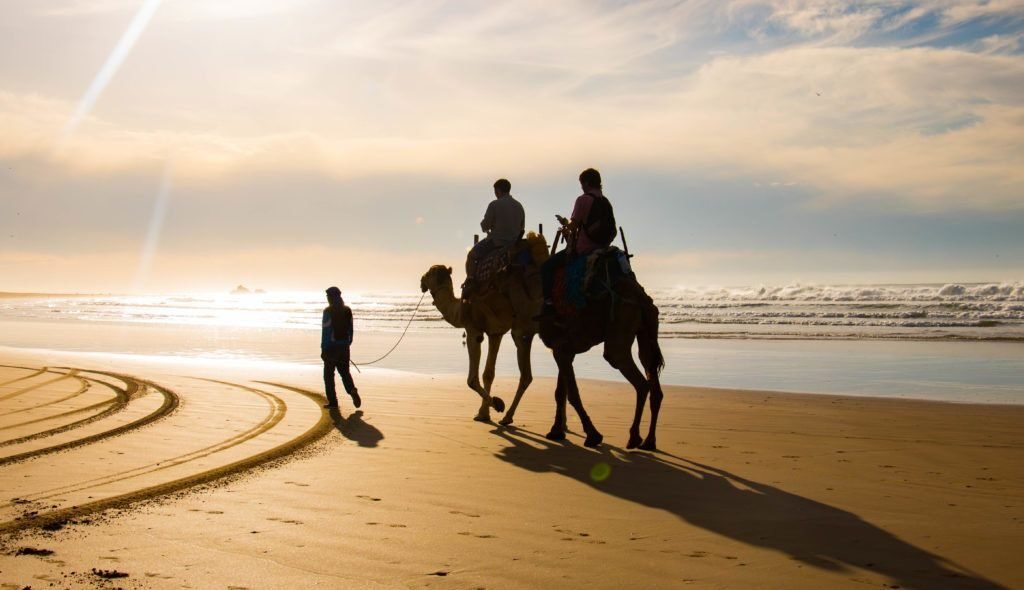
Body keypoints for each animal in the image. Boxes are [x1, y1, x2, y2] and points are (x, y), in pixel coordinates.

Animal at [415, 231, 548, 424]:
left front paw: (497, 404)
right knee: (528, 375)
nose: (421, 281)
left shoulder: (473, 330)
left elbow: (472, 379)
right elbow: (489, 373)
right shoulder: (495, 333)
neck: (459, 308)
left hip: (525, 326)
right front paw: (484, 413)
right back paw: (510, 418)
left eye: (429, 272)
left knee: (529, 374)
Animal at [540, 260, 667, 448]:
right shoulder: (563, 349)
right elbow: (560, 392)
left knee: (639, 381)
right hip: (647, 331)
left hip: (620, 326)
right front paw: (556, 431)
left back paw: (634, 437)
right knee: (652, 380)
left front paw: (593, 435)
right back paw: (649, 441)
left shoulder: (561, 348)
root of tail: (641, 297)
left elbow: (572, 393)